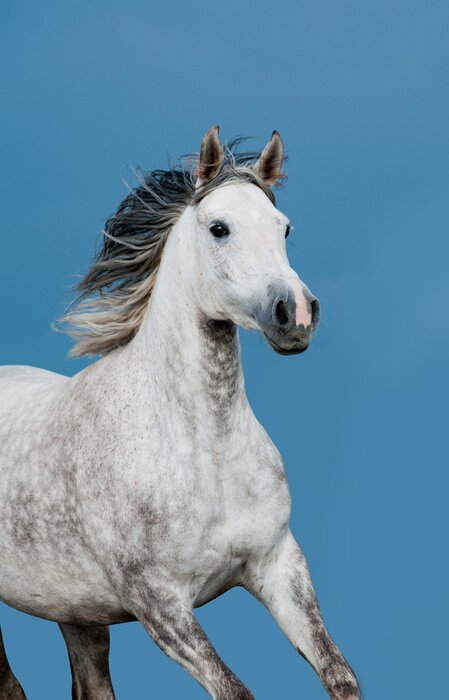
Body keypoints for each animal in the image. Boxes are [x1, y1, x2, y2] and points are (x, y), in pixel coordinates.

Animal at [0, 126, 360, 699]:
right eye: (219, 228)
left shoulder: (279, 566)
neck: (202, 452)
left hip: (76, 612)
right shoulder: (160, 606)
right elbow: (235, 690)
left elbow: (340, 676)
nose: (297, 314)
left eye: (284, 227)